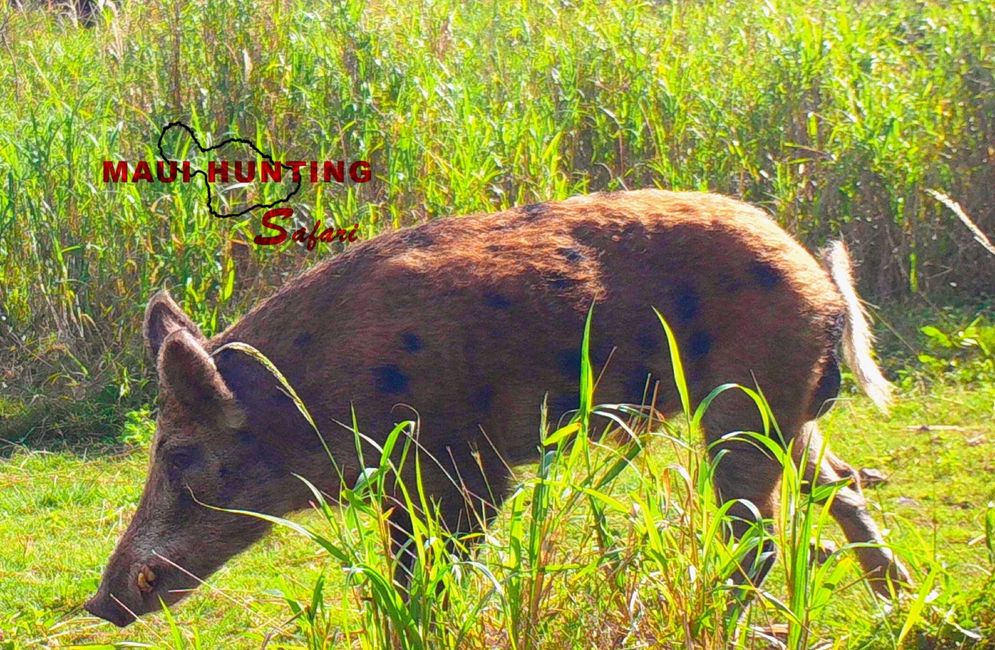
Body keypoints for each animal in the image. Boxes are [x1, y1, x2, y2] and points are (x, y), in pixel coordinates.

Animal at [85, 189, 909, 626]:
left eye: (178, 455)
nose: (99, 601)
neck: (312, 404)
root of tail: (817, 277)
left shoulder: (460, 469)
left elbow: (426, 576)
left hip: (741, 406)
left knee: (760, 537)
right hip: (784, 410)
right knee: (837, 485)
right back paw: (895, 601)